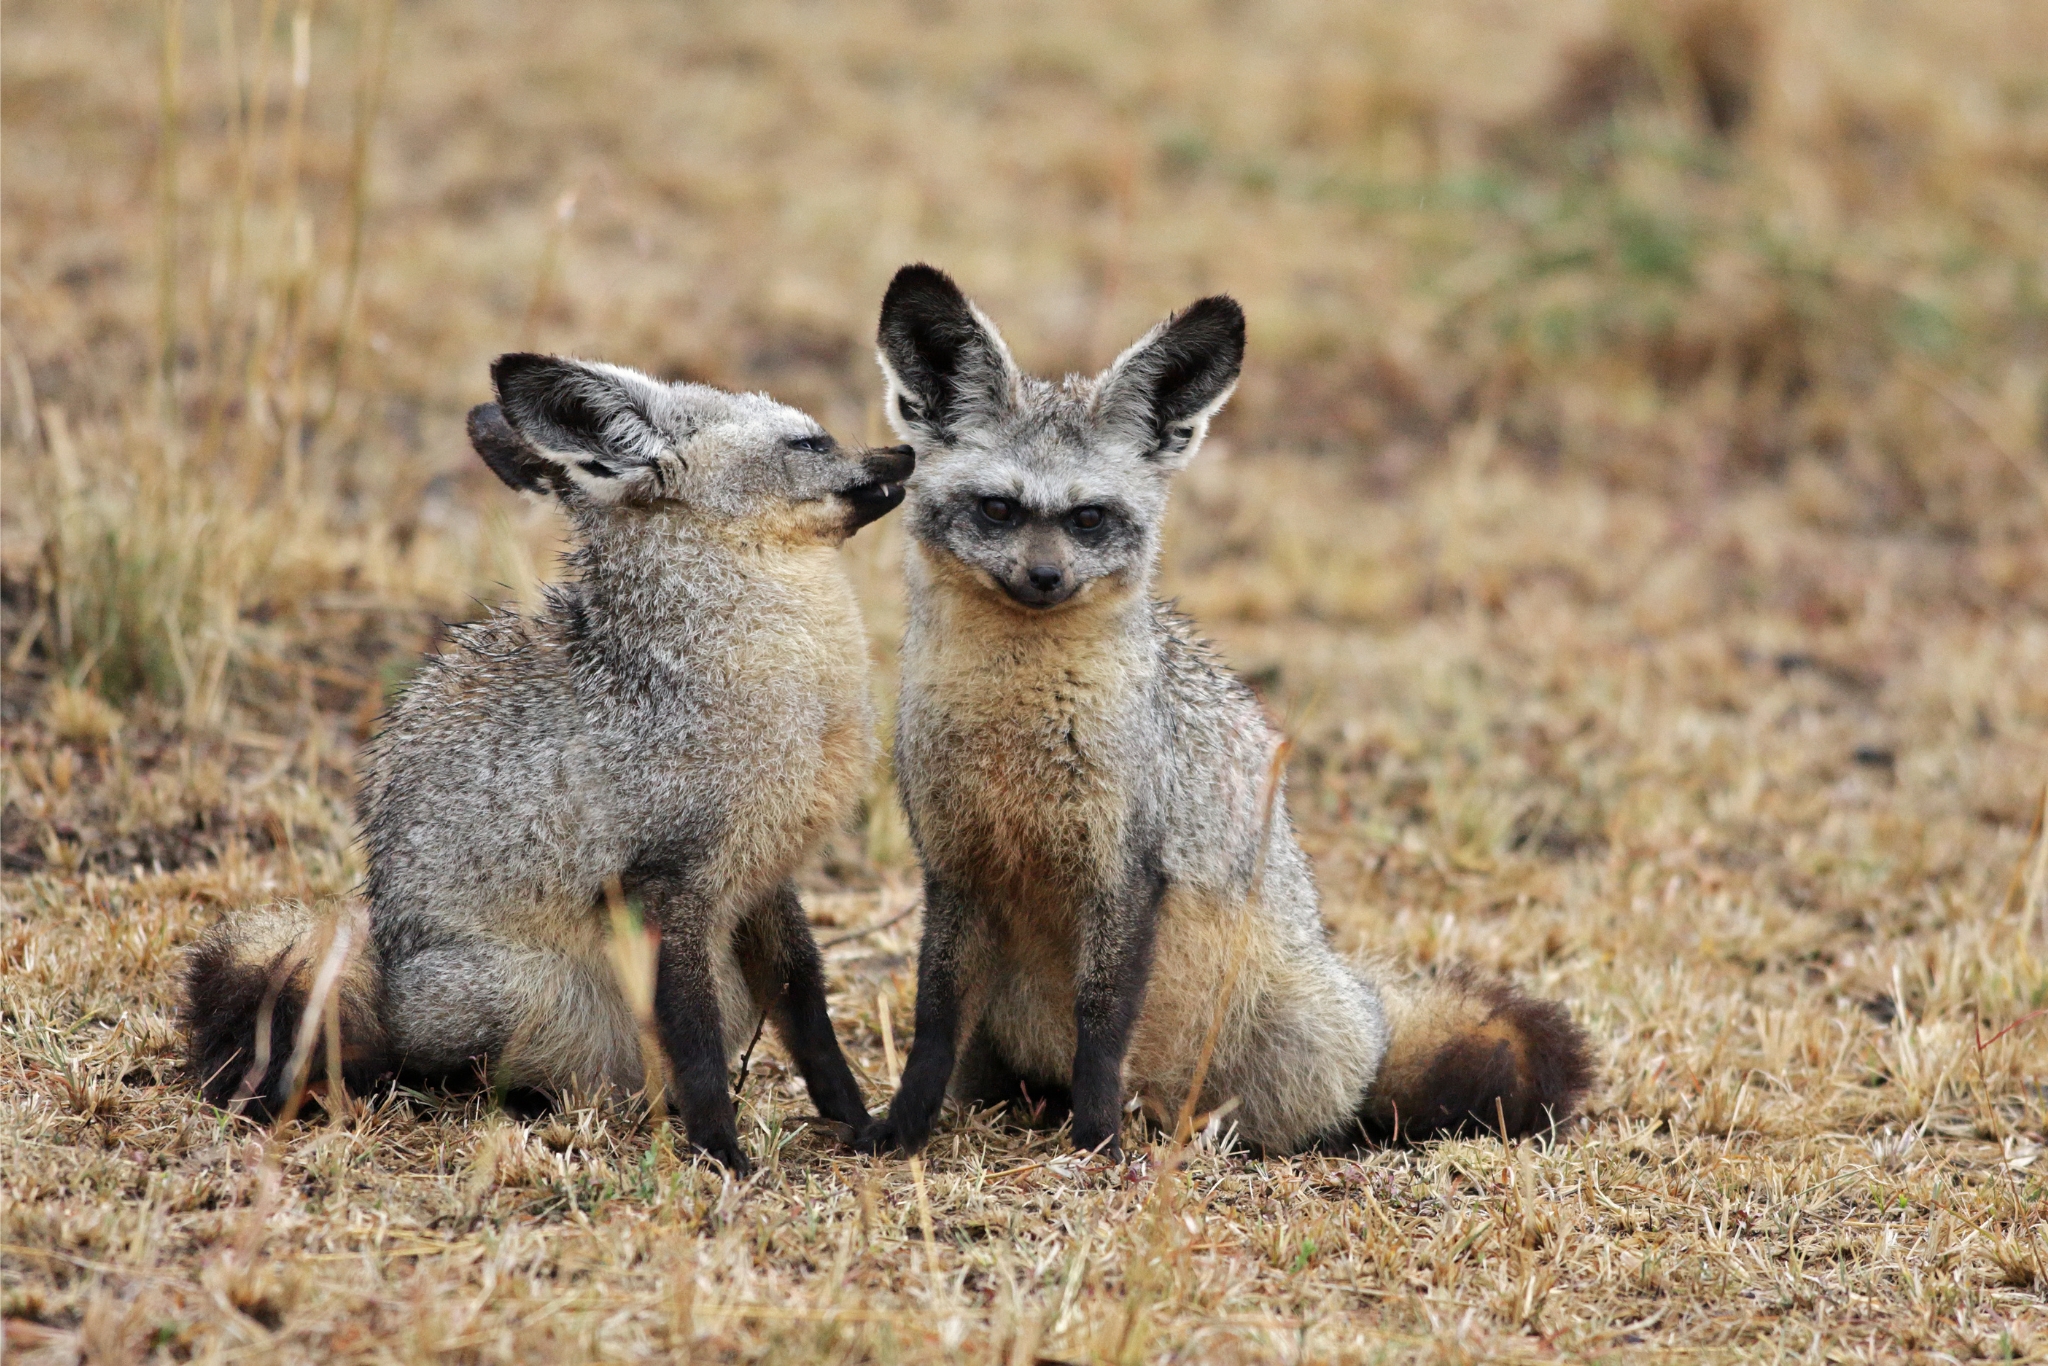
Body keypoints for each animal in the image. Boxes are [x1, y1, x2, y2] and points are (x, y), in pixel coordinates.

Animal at [183, 353, 913, 1171]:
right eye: (810, 443)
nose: (907, 453)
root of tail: (389, 969)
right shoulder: (665, 887)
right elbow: (694, 1043)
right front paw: (721, 1151)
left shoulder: (763, 878)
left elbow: (807, 1010)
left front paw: (857, 1120)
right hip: (518, 992)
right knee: (426, 1064)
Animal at [854, 265, 1593, 1159]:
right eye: (998, 508)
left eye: (1088, 518)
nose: (1044, 579)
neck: (1014, 730)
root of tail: (1364, 1006)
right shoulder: (955, 869)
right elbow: (932, 1022)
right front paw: (901, 1128)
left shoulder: (1127, 872)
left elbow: (1102, 1025)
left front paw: (1096, 1140)